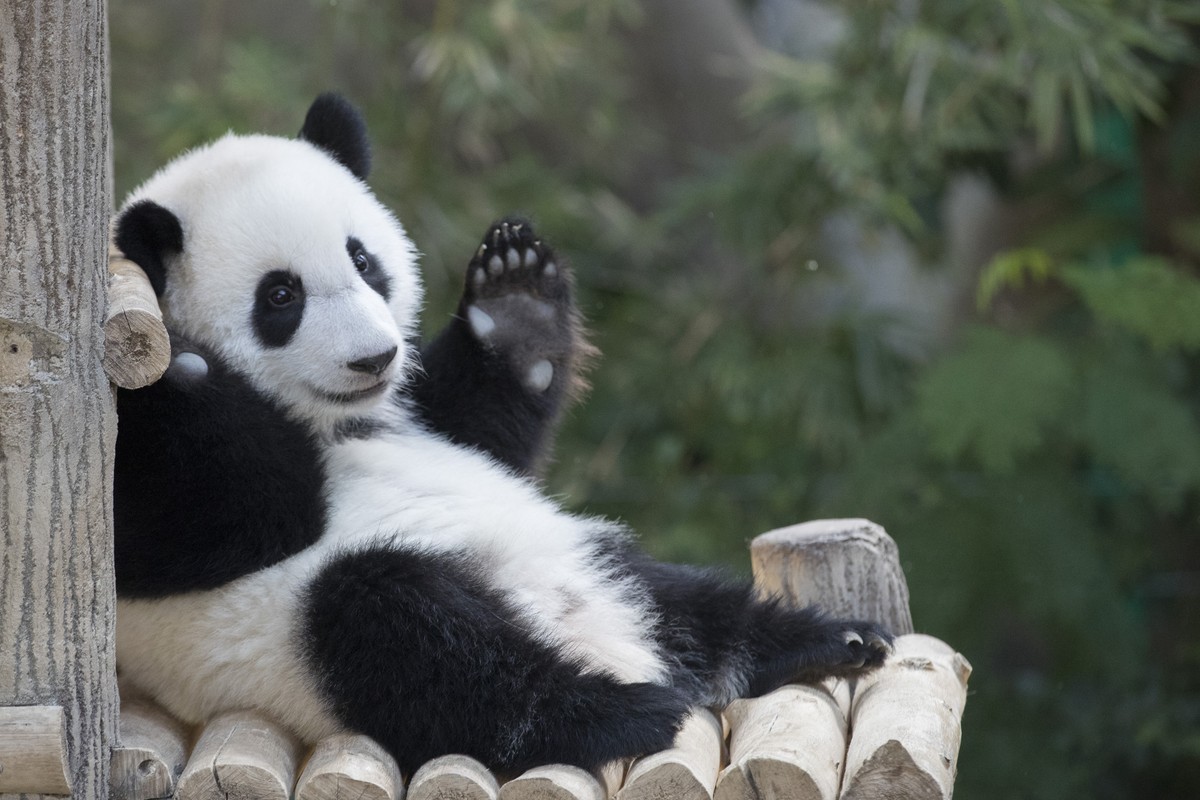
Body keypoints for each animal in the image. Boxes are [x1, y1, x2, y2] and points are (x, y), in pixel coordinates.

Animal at [112, 94, 892, 775]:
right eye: (280, 296)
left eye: (363, 260)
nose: (375, 358)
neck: (337, 423)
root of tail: (606, 639)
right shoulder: (162, 536)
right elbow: (228, 519)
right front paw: (179, 375)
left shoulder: (420, 417)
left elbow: (488, 434)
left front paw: (516, 298)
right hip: (299, 646)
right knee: (420, 642)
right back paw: (620, 712)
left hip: (584, 551)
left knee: (691, 604)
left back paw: (827, 640)